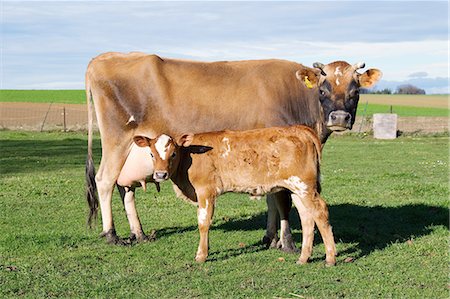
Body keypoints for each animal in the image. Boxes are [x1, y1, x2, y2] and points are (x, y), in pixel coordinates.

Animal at [84, 53, 380, 248]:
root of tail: (105, 57)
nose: (339, 118)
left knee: (125, 187)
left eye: (355, 90)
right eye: (322, 89)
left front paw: (269, 238)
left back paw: (140, 233)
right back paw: (111, 234)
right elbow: (282, 199)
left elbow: (271, 197)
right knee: (105, 181)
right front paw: (286, 243)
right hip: (116, 140)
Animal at [132, 125, 336, 266]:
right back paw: (303, 258)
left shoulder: (205, 191)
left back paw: (330, 258)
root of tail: (299, 129)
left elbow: (203, 223)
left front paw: (201, 255)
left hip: (305, 186)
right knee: (307, 217)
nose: (160, 174)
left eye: (173, 153)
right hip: (297, 189)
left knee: (320, 212)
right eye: (151, 154)